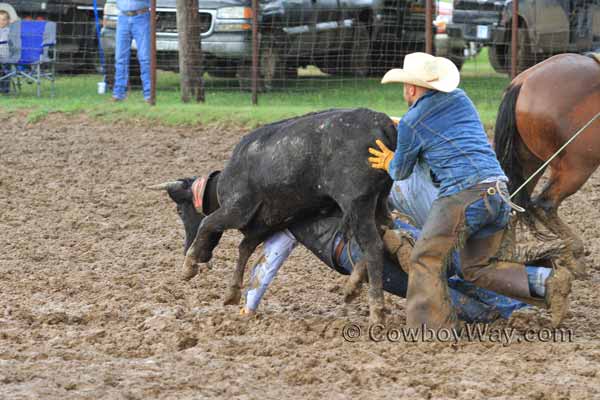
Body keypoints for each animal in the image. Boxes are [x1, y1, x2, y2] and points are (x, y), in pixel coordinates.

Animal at [492, 53, 600, 276]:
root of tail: (522, 81)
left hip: (529, 163)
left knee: (514, 202)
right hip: (576, 167)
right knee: (545, 204)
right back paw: (576, 256)